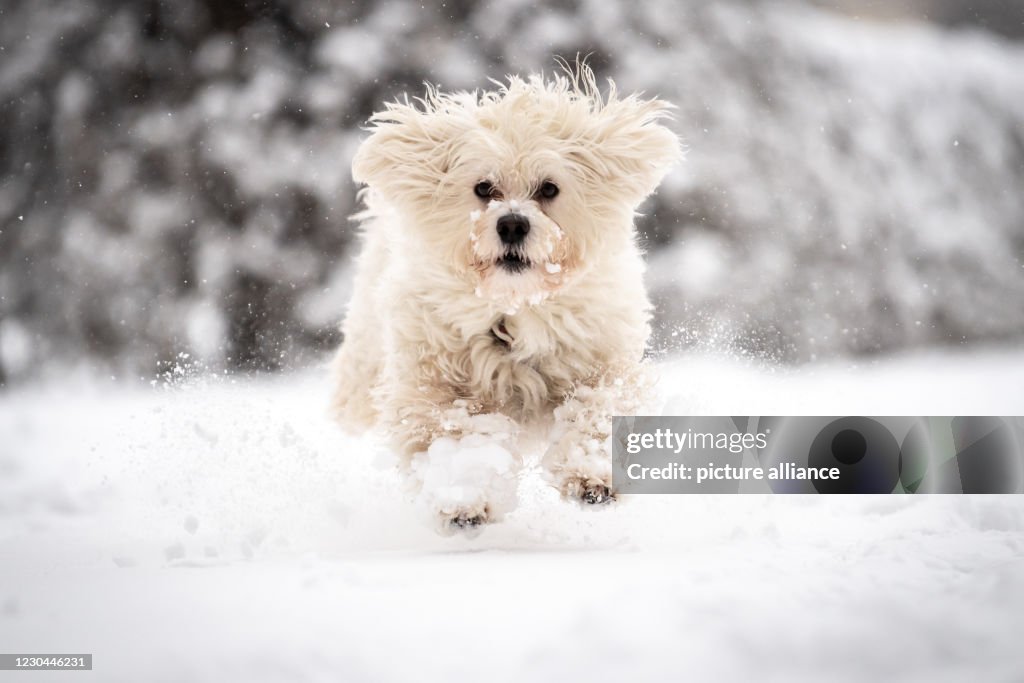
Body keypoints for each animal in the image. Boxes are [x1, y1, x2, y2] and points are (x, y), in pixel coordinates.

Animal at [331, 63, 675, 532]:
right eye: (483, 188)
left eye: (548, 189)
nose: (512, 224)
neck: (516, 306)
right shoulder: (435, 382)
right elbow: (454, 432)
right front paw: (466, 497)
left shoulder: (602, 362)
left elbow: (596, 410)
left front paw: (591, 475)